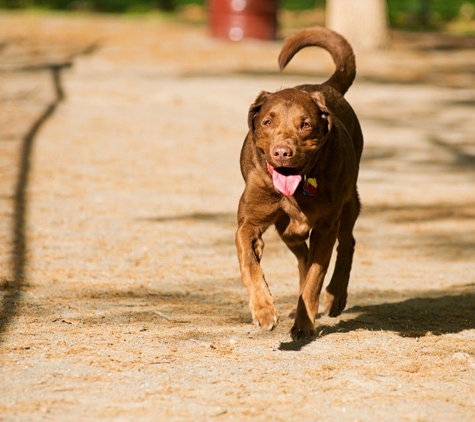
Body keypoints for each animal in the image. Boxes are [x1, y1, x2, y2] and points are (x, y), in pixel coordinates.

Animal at [235, 27, 364, 342]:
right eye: (268, 122)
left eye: (305, 124)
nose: (283, 152)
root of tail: (326, 86)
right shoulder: (248, 223)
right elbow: (250, 263)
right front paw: (263, 310)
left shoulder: (325, 228)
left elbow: (315, 280)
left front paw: (304, 325)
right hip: (287, 230)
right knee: (302, 257)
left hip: (348, 202)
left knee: (347, 243)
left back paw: (335, 297)